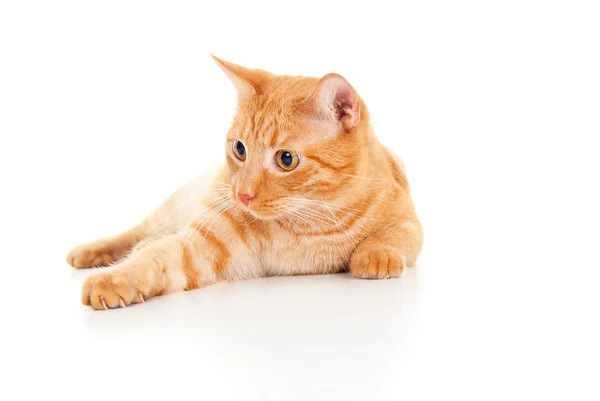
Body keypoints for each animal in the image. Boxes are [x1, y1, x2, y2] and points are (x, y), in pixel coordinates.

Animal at [68, 55, 424, 310]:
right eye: (240, 149)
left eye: (286, 159)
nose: (241, 195)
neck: (306, 227)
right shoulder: (200, 245)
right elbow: (152, 259)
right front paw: (114, 279)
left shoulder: (409, 221)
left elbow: (393, 235)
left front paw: (375, 257)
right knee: (138, 235)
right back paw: (89, 251)